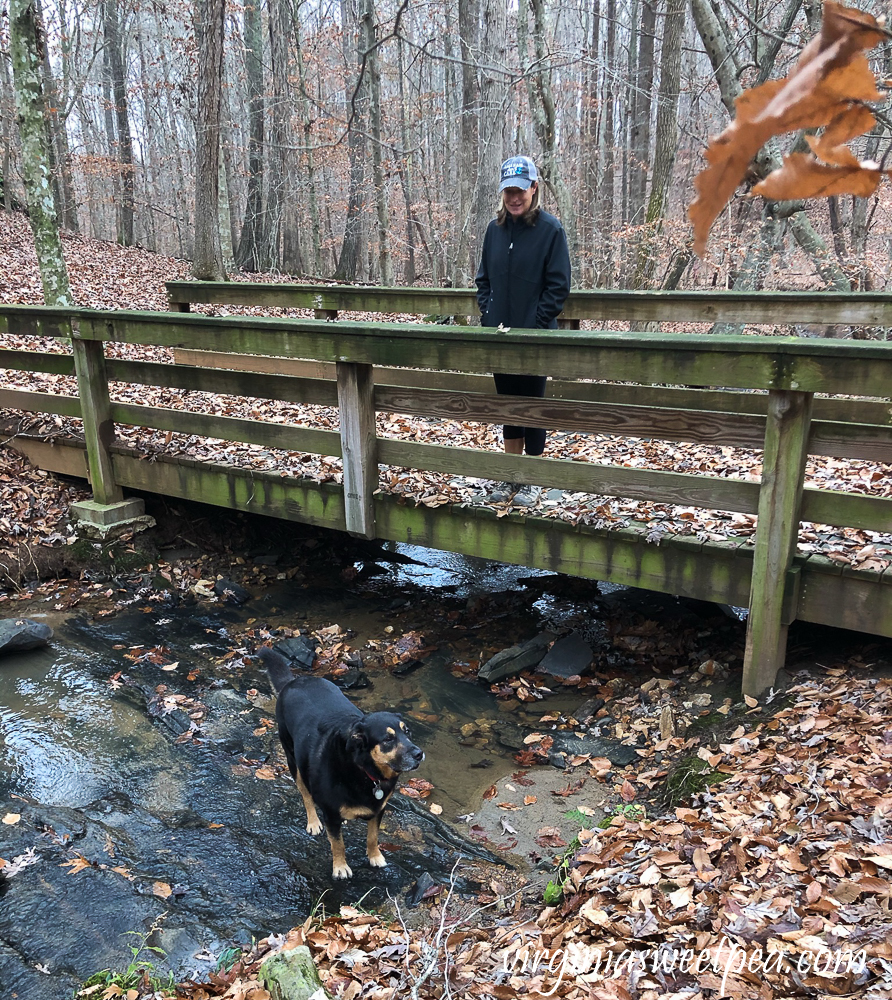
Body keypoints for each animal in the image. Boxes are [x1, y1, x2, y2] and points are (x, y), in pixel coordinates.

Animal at [258, 644, 426, 880]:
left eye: (407, 732)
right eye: (387, 739)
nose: (419, 754)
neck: (365, 771)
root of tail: (293, 681)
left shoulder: (378, 810)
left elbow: (373, 837)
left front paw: (375, 857)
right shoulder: (331, 814)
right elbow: (338, 844)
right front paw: (340, 867)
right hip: (294, 760)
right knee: (306, 794)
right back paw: (313, 822)